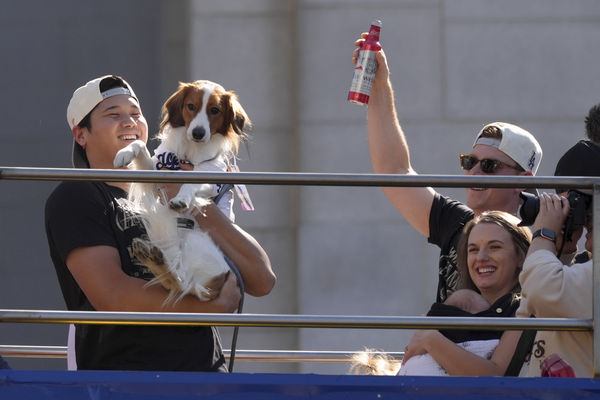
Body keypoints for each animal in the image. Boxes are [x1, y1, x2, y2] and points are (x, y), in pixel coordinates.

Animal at [113, 79, 250, 302]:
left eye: (215, 110)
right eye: (191, 106)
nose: (198, 133)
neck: (191, 153)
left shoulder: (210, 178)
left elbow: (190, 184)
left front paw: (182, 199)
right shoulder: (156, 177)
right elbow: (139, 143)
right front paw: (124, 153)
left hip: (198, 245)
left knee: (182, 283)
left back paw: (158, 262)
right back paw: (153, 258)